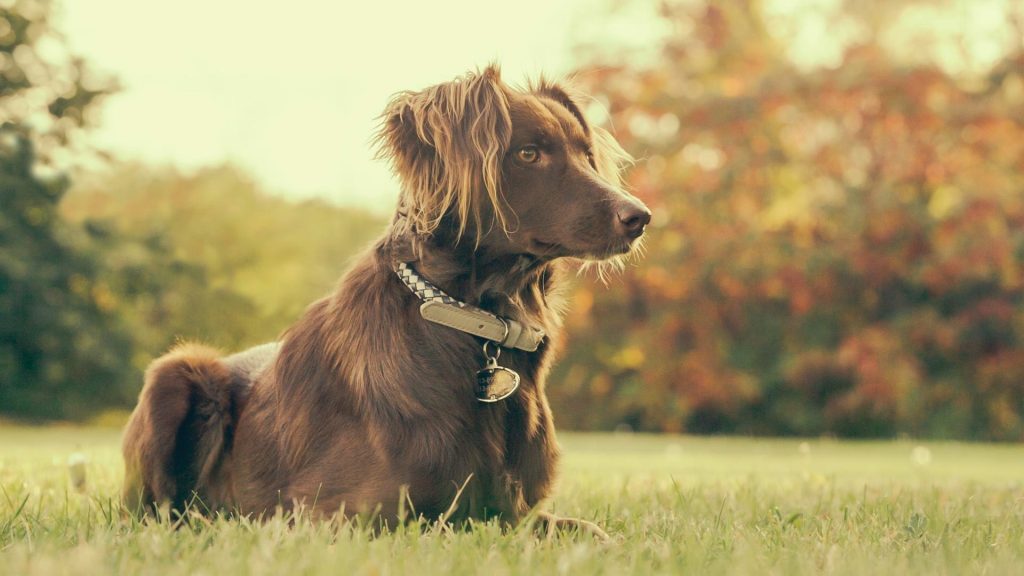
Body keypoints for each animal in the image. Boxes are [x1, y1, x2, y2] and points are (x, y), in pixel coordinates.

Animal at [119, 66, 647, 532]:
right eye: (529, 153)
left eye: (585, 154)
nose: (640, 217)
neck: (471, 321)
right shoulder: (330, 515)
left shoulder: (516, 516)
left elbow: (595, 532)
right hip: (174, 372)